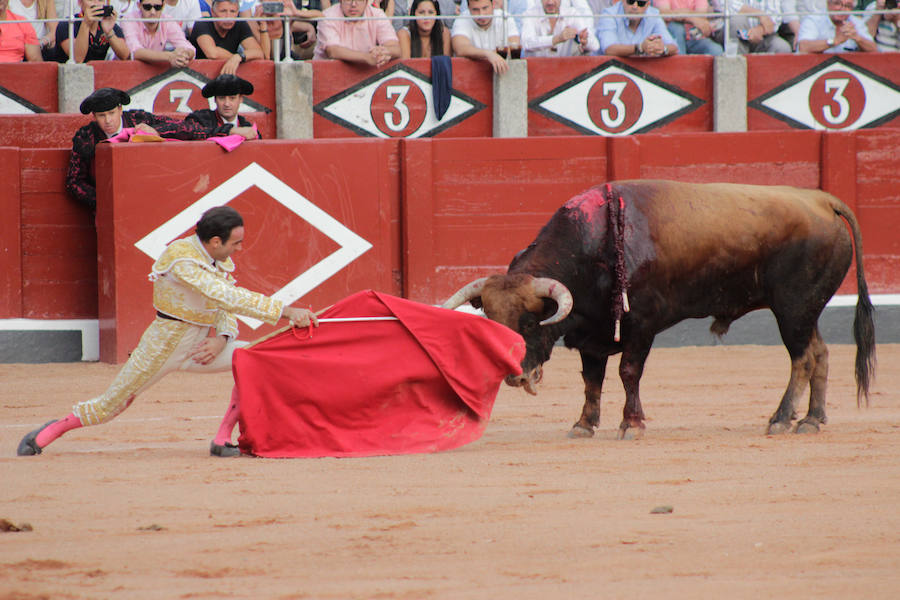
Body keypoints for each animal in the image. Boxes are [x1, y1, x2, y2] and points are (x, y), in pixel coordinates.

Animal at [446, 180, 876, 438]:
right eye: (491, 319)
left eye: (531, 321)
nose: (515, 376)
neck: (595, 246)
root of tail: (823, 200)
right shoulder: (592, 334)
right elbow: (592, 381)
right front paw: (584, 425)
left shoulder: (641, 325)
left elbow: (627, 372)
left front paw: (631, 424)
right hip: (807, 310)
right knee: (820, 353)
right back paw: (812, 419)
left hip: (792, 309)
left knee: (801, 358)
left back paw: (781, 419)